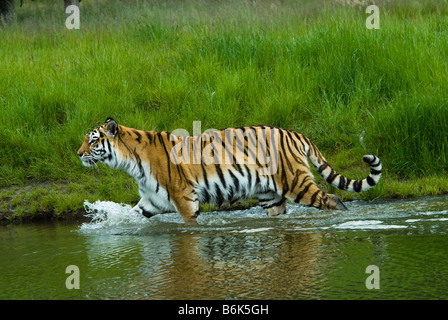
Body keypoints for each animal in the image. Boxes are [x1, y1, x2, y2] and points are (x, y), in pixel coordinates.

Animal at [77, 118, 382, 225]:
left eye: (92, 141)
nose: (78, 154)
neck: (131, 163)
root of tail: (295, 133)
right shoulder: (152, 200)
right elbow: (130, 215)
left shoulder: (184, 199)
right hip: (270, 196)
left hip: (296, 183)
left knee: (332, 199)